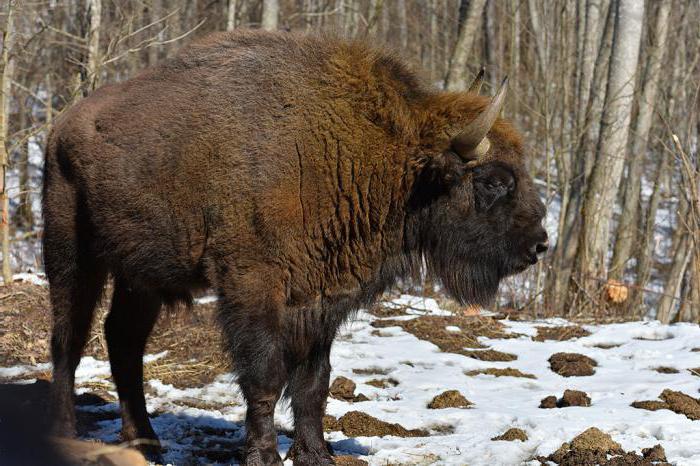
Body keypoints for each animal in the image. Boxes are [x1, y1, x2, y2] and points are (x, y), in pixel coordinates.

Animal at [42, 31, 548, 464]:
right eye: (493, 180)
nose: (539, 243)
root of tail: (60, 126)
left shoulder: (322, 297)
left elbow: (313, 384)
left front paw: (316, 454)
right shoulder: (253, 287)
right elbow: (265, 377)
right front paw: (264, 456)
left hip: (141, 275)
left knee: (122, 339)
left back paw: (146, 443)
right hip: (72, 255)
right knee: (68, 340)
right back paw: (65, 433)